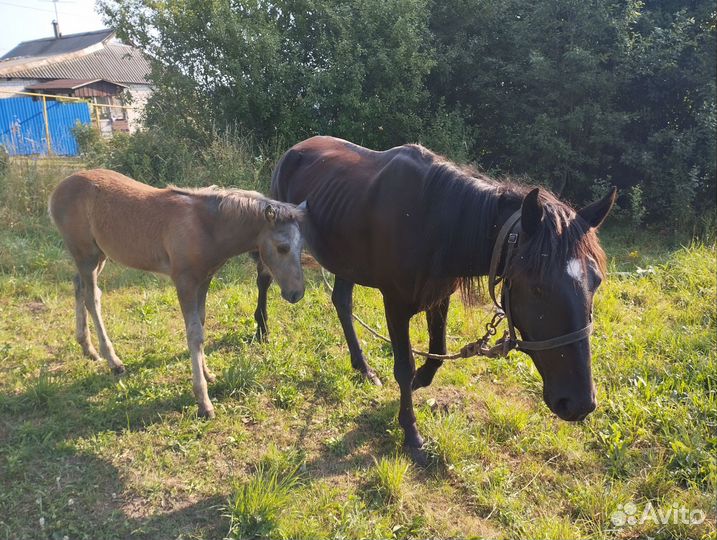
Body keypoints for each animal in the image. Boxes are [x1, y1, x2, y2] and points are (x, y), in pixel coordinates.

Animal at [49, 169, 305, 418]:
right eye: (282, 247)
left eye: (301, 246)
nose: (296, 293)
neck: (206, 227)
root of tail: (58, 189)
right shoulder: (184, 282)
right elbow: (194, 334)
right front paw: (203, 402)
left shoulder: (204, 280)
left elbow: (201, 324)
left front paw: (207, 372)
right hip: (86, 254)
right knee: (92, 298)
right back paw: (113, 361)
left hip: (98, 255)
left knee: (79, 287)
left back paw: (88, 348)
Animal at [254, 136, 615, 463]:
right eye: (537, 287)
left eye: (596, 281)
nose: (579, 404)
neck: (434, 220)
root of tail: (294, 150)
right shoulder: (395, 304)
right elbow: (404, 366)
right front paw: (411, 432)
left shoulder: (439, 297)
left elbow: (437, 353)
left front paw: (417, 385)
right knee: (264, 278)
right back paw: (262, 330)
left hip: (346, 259)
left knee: (342, 303)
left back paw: (363, 368)